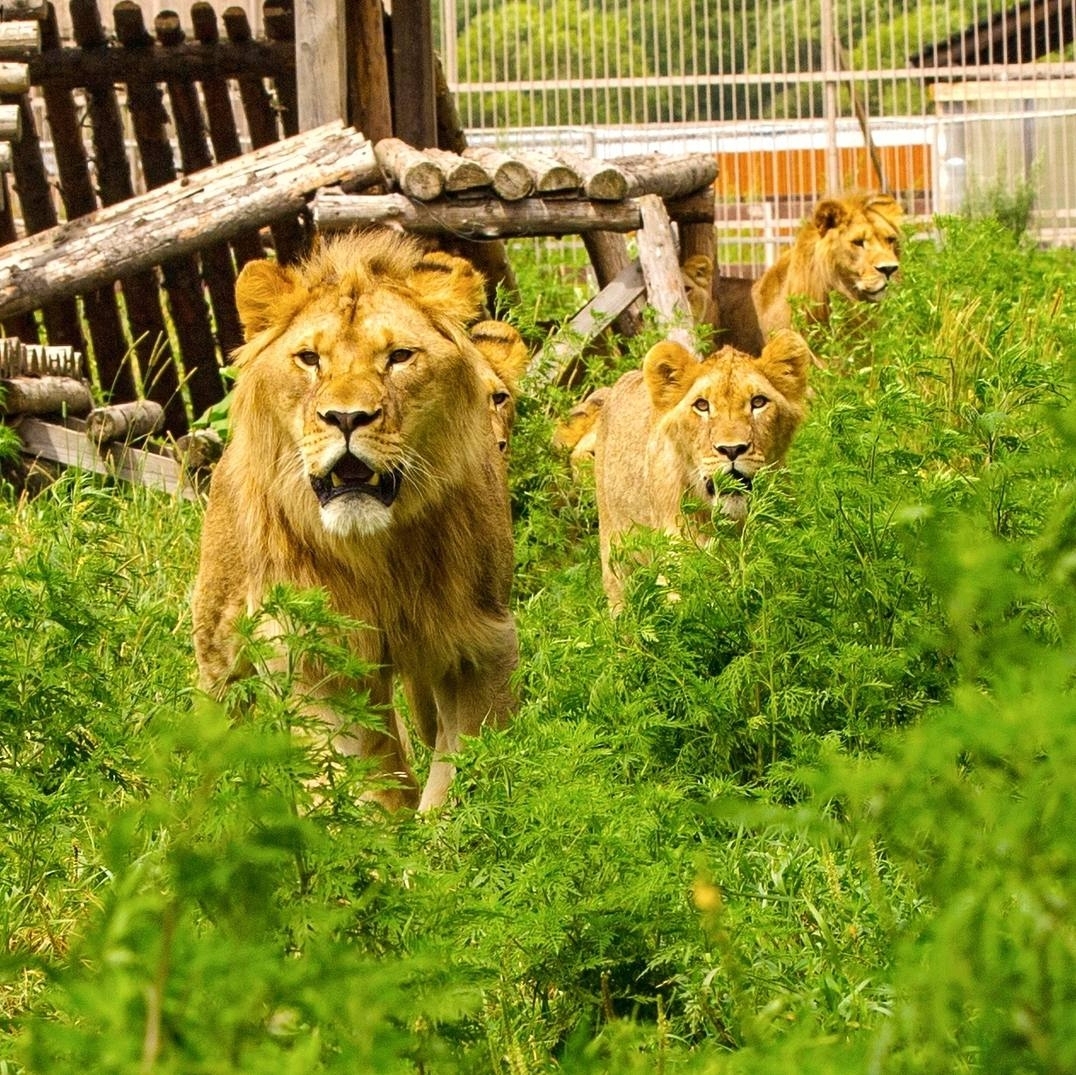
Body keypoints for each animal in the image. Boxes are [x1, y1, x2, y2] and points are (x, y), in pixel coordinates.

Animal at [192, 229, 520, 813]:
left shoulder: (481, 643)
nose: (346, 418)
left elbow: (457, 778)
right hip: (220, 651)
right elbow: (358, 779)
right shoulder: (313, 658)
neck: (375, 553)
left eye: (399, 357)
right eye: (308, 359)